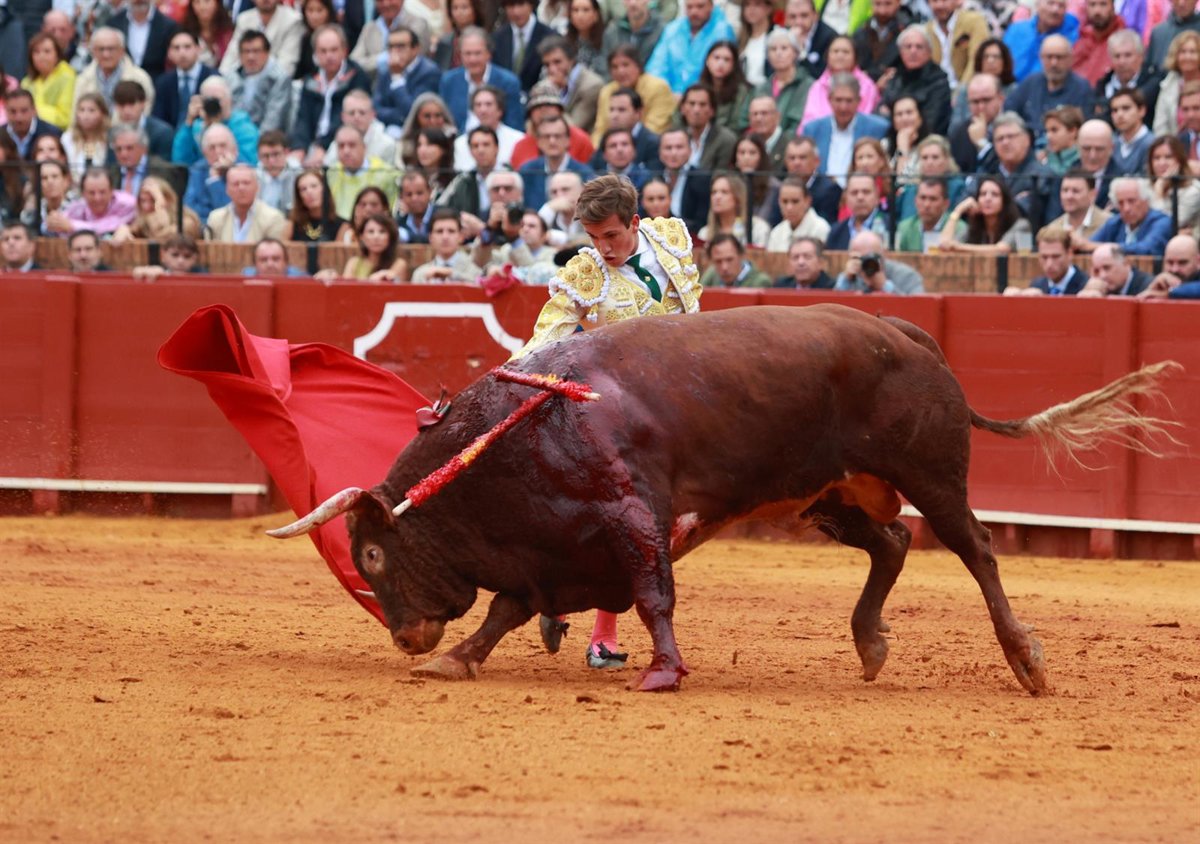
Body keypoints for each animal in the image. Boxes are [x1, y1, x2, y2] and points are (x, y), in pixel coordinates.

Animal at [267, 305, 1178, 695]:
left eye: (373, 551)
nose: (405, 637)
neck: (511, 435)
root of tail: (909, 333)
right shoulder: (547, 555)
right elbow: (506, 612)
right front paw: (457, 658)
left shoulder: (630, 517)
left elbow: (652, 595)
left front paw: (664, 673)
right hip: (827, 492)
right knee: (890, 546)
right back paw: (869, 646)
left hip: (930, 474)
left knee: (977, 549)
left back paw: (1027, 662)